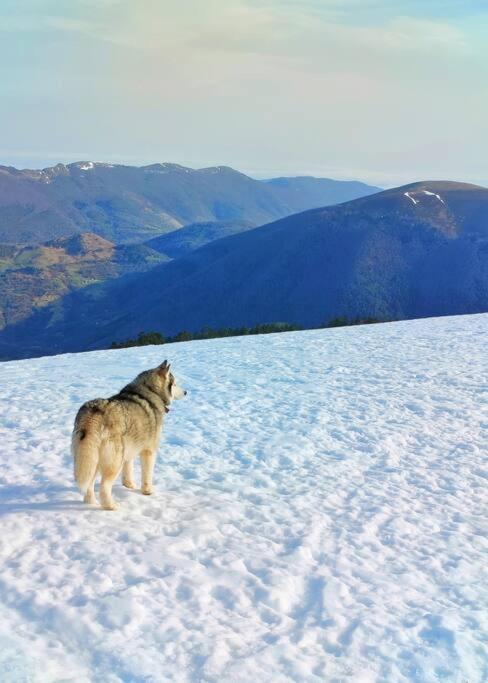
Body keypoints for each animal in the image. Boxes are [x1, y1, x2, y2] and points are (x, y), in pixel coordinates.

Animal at [71, 360, 186, 510]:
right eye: (175, 383)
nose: (186, 392)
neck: (150, 392)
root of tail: (94, 410)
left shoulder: (130, 449)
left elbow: (128, 470)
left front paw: (129, 485)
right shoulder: (149, 451)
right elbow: (147, 475)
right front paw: (147, 491)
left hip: (92, 459)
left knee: (89, 485)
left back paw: (91, 503)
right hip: (114, 461)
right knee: (104, 486)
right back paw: (111, 506)